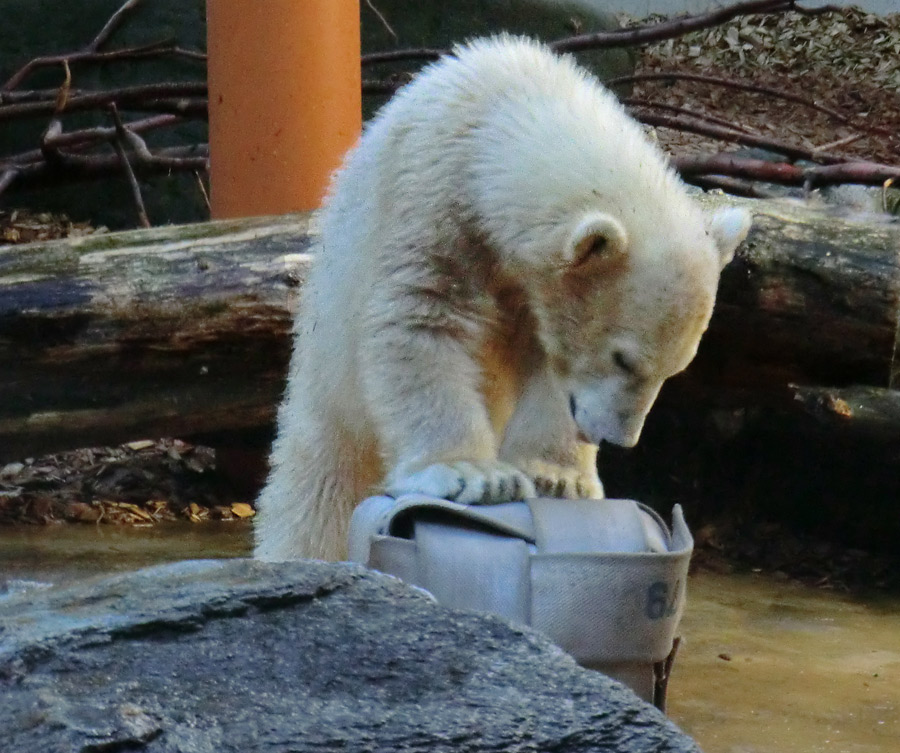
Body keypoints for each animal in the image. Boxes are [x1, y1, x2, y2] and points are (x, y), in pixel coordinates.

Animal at [255, 36, 752, 564]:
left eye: (674, 370)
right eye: (623, 359)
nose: (614, 439)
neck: (502, 112)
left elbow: (551, 365)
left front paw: (557, 476)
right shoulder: (428, 201)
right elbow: (419, 321)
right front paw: (473, 474)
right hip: (330, 378)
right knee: (318, 489)